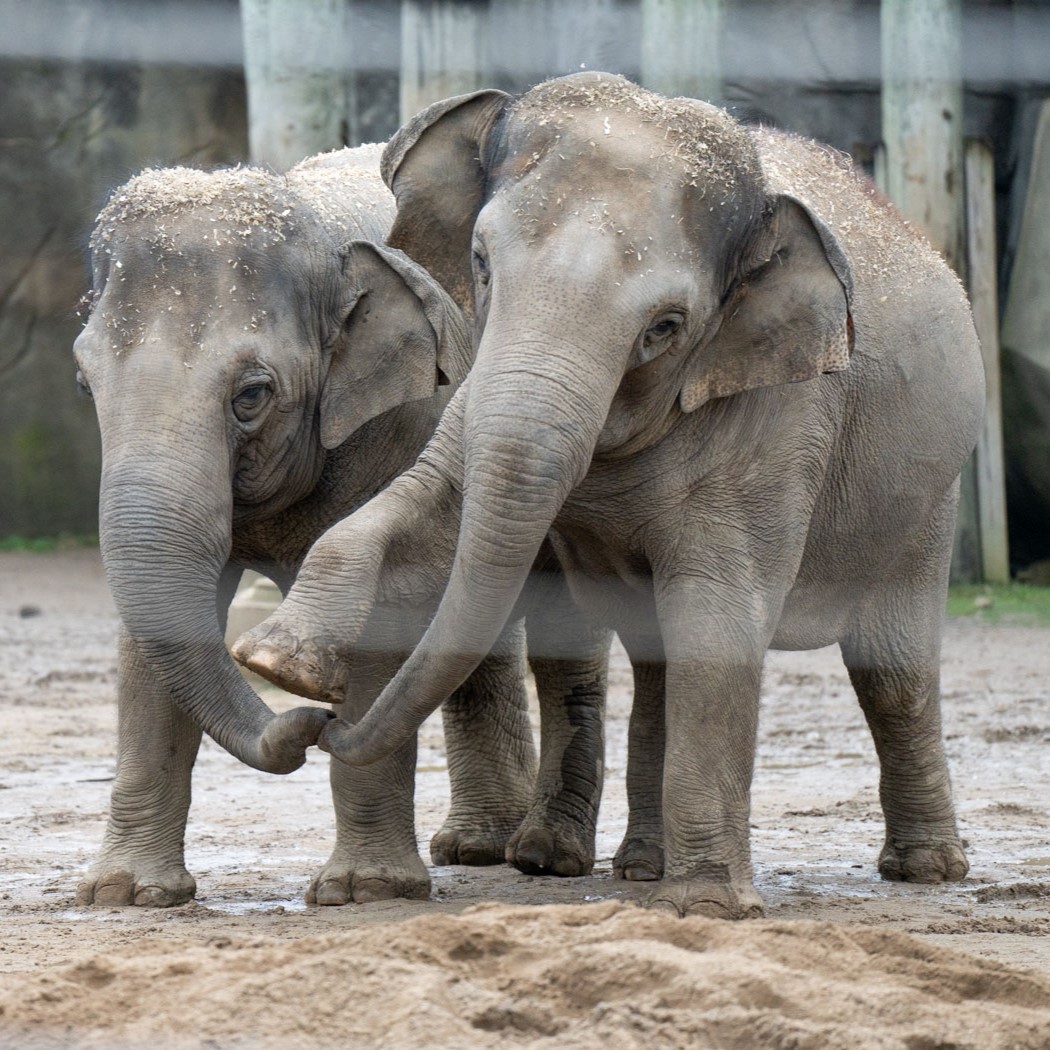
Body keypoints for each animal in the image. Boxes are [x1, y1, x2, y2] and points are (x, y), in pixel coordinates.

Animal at [74, 143, 583, 907]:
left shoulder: (406, 421)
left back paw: (536, 853)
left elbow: (387, 609)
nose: (311, 723)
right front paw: (125, 894)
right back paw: (477, 847)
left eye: (252, 395)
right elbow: (152, 633)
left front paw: (364, 888)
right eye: (85, 383)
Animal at [236, 71, 982, 919]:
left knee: (892, 669)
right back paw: (641, 869)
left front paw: (711, 909)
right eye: (481, 262)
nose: (314, 726)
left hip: (931, 494)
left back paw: (926, 870)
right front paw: (278, 658)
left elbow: (719, 619)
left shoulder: (781, 416)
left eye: (664, 327)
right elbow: (421, 507)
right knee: (657, 663)